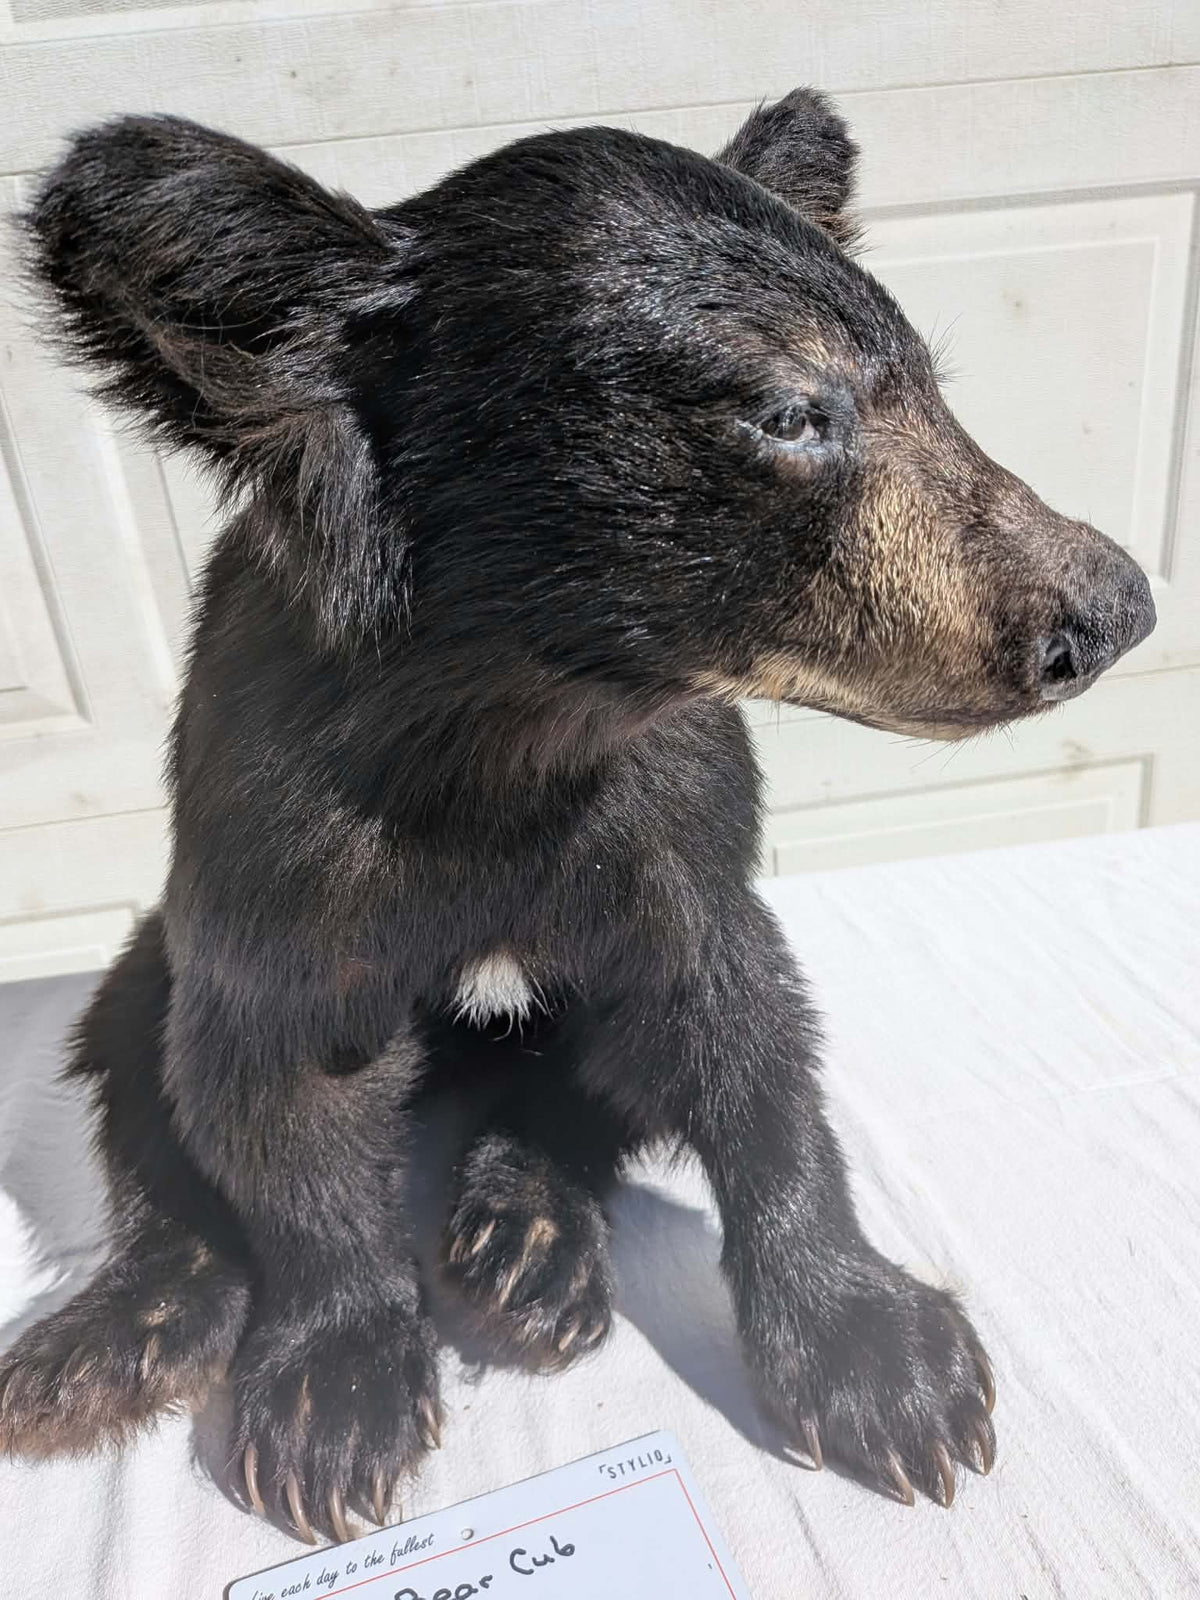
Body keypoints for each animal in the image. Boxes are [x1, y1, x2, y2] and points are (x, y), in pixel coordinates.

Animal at [0, 90, 1155, 1543]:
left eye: (934, 389)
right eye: (790, 410)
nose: (1110, 608)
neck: (522, 726)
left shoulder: (671, 836)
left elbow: (749, 1047)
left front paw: (888, 1367)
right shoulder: (282, 857)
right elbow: (277, 1107)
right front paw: (332, 1399)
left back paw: (529, 1244)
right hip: (151, 953)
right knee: (140, 1074)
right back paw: (120, 1332)